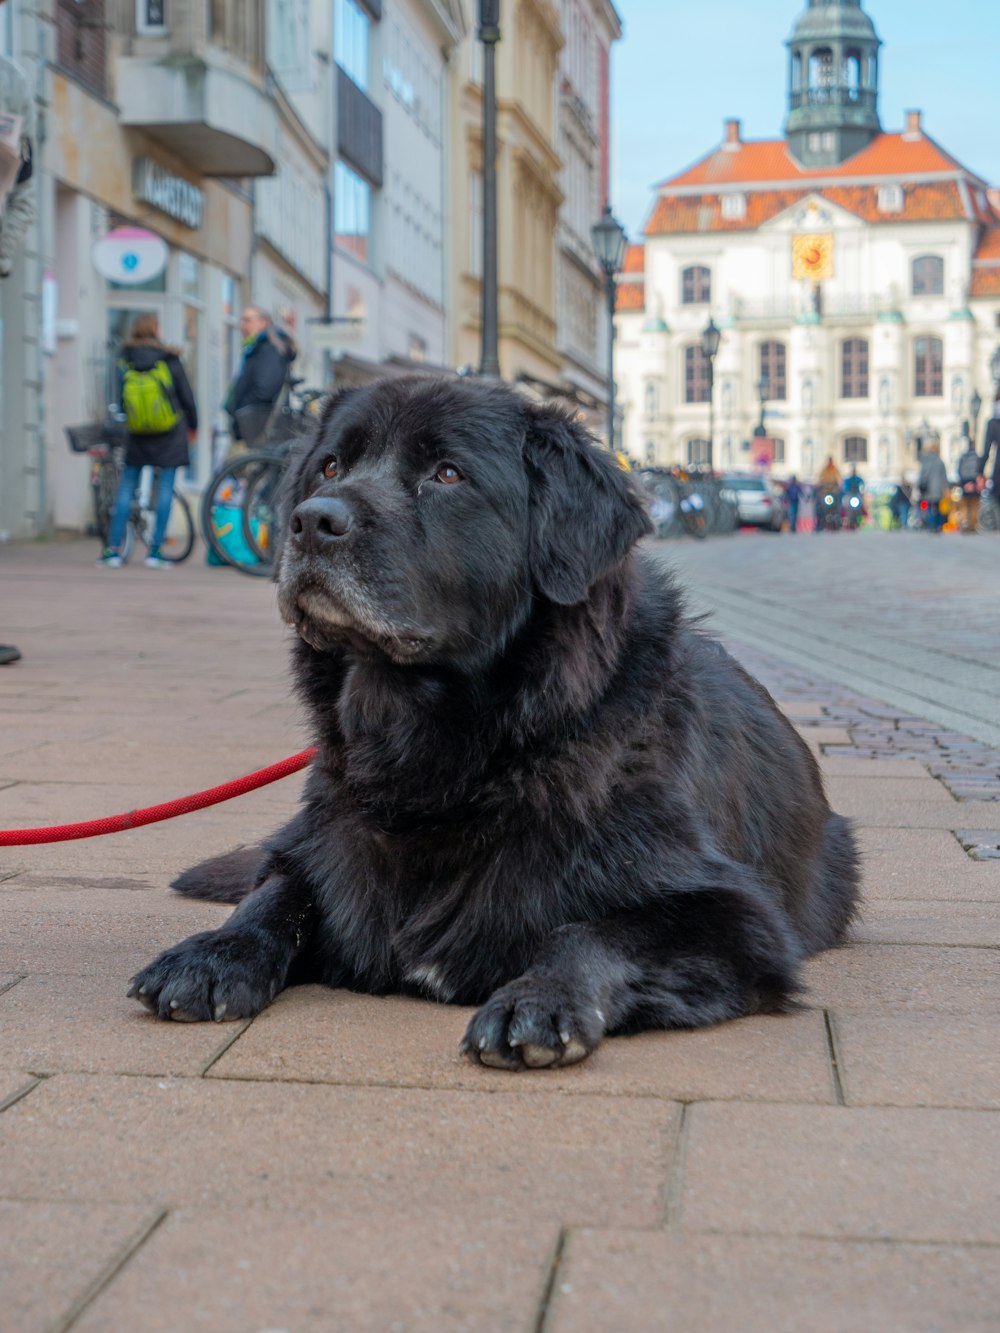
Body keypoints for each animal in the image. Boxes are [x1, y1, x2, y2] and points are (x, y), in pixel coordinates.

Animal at [129, 378, 858, 1071]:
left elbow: (593, 930)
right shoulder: (318, 845)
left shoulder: (738, 914)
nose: (312, 521)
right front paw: (214, 951)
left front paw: (541, 999)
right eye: (331, 466)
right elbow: (275, 893)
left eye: (448, 474)